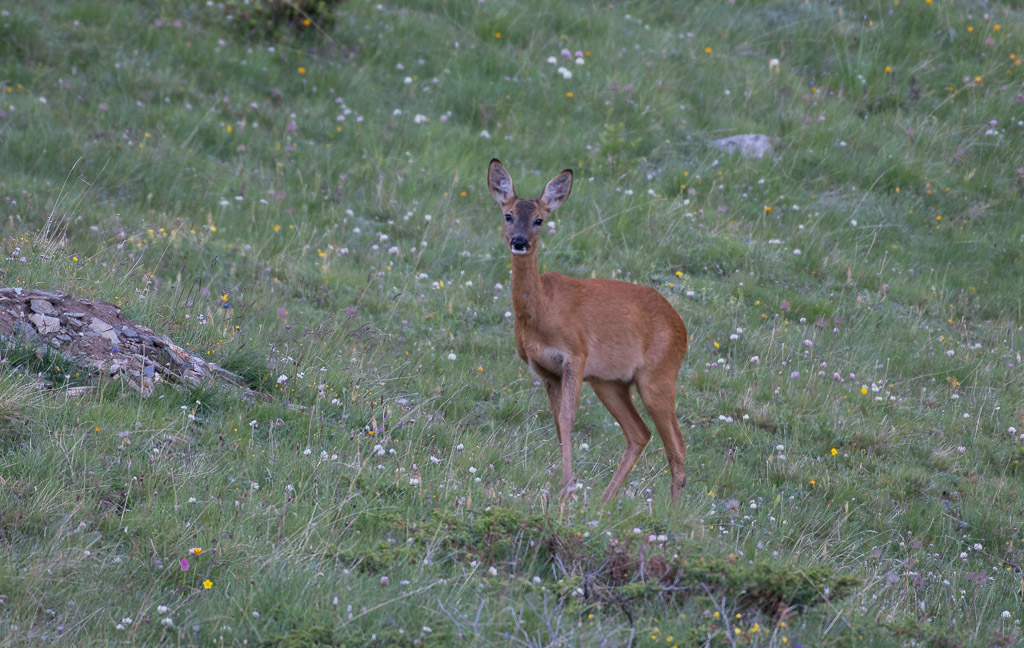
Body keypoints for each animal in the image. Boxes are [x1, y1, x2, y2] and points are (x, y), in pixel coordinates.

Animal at [485, 159, 688, 503]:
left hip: (658, 376)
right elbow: (558, 423)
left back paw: (673, 512)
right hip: (610, 382)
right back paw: (604, 503)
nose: (519, 241)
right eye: (508, 215)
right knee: (640, 433)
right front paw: (567, 489)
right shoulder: (545, 370)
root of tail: (683, 329)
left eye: (539, 219)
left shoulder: (576, 354)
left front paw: (567, 490)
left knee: (677, 444)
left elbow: (568, 419)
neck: (542, 313)